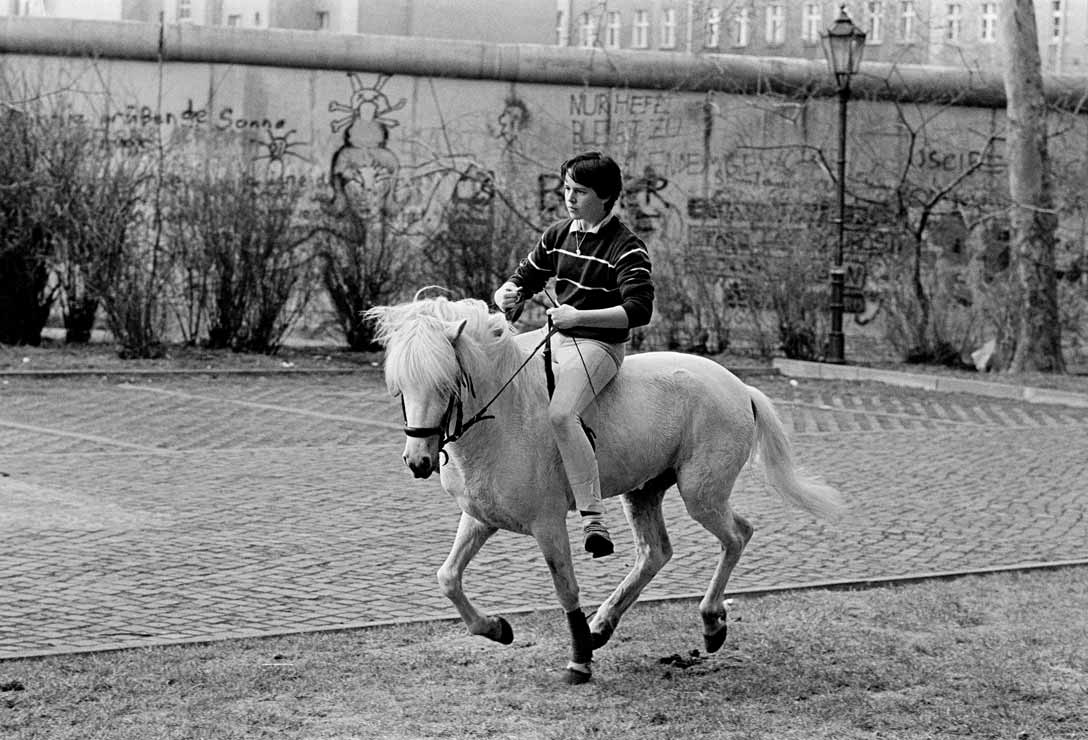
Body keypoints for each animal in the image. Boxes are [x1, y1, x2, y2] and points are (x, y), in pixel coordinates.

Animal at [365, 293, 839, 683]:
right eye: (400, 388)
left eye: (445, 385)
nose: (418, 461)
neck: (504, 415)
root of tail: (740, 387)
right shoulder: (480, 518)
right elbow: (448, 577)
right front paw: (497, 629)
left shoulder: (548, 523)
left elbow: (565, 588)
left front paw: (578, 662)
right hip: (644, 491)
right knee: (655, 552)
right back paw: (603, 625)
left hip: (701, 494)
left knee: (737, 535)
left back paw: (710, 623)